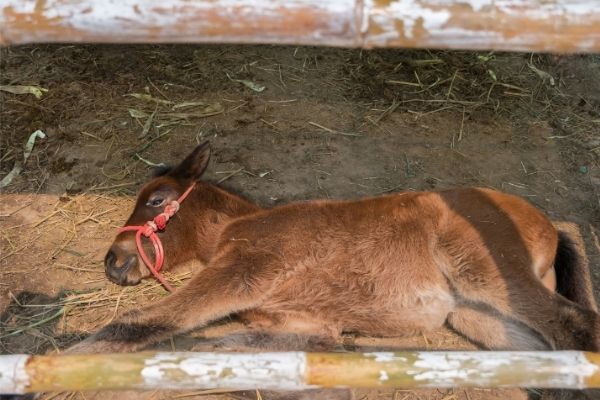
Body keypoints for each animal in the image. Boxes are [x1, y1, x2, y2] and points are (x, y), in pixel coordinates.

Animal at [70, 143, 596, 354]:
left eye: (157, 200)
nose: (112, 260)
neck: (236, 229)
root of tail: (551, 226)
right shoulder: (306, 323)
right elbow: (223, 345)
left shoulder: (242, 272)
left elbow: (137, 323)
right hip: (477, 315)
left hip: (483, 270)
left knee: (574, 322)